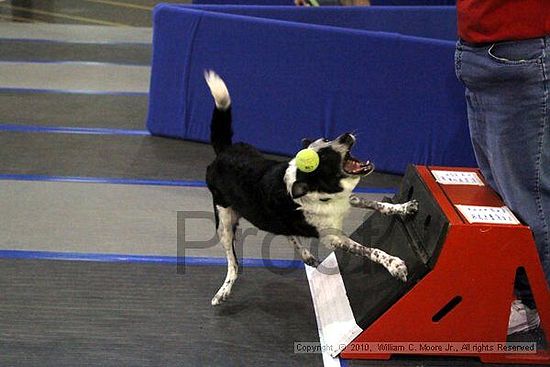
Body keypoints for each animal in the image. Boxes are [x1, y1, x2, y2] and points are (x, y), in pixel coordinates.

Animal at [206, 70, 418, 306]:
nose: (345, 135)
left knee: (285, 232)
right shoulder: (335, 239)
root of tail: (224, 152)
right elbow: (370, 250)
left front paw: (401, 208)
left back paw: (305, 253)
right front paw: (393, 264)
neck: (321, 192)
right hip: (224, 223)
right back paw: (224, 290)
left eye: (327, 139)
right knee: (233, 264)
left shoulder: (348, 198)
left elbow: (376, 204)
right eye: (323, 158)